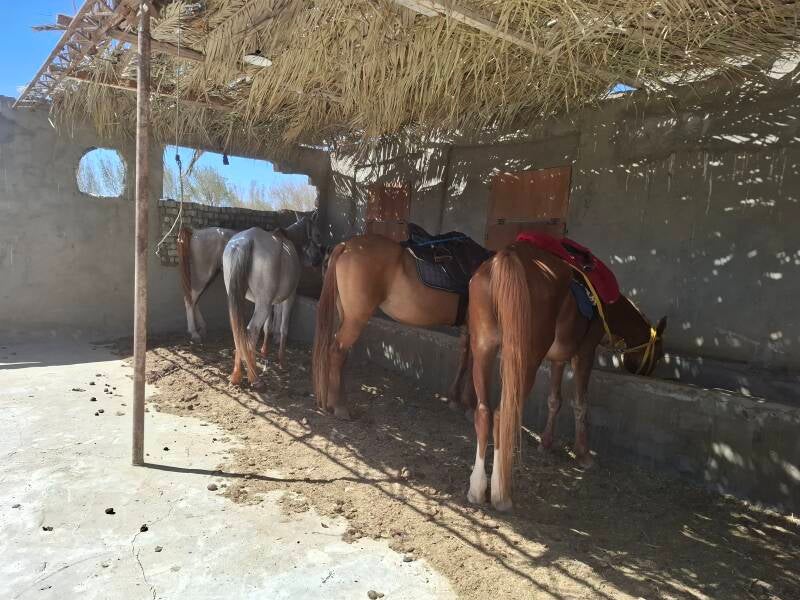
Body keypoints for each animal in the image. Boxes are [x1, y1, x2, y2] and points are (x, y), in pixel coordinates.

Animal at [224, 211, 323, 389]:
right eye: (317, 234)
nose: (318, 260)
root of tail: (245, 240)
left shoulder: (271, 302)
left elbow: (268, 326)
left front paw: (264, 351)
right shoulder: (289, 298)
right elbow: (283, 328)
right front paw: (282, 361)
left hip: (237, 298)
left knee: (239, 331)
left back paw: (236, 375)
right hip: (262, 304)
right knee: (251, 330)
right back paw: (254, 377)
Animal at [312, 233, 479, 420]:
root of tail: (345, 246)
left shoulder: (467, 328)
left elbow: (465, 358)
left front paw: (456, 399)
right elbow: (474, 364)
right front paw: (470, 406)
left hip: (346, 316)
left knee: (340, 355)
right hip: (355, 319)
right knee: (337, 352)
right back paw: (340, 406)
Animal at [466, 241, 666, 511]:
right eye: (660, 353)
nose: (651, 371)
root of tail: (508, 257)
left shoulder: (557, 359)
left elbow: (554, 400)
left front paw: (546, 442)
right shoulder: (584, 354)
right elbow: (580, 404)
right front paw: (583, 454)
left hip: (483, 349)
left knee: (484, 412)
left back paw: (477, 488)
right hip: (525, 361)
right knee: (503, 415)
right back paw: (501, 493)